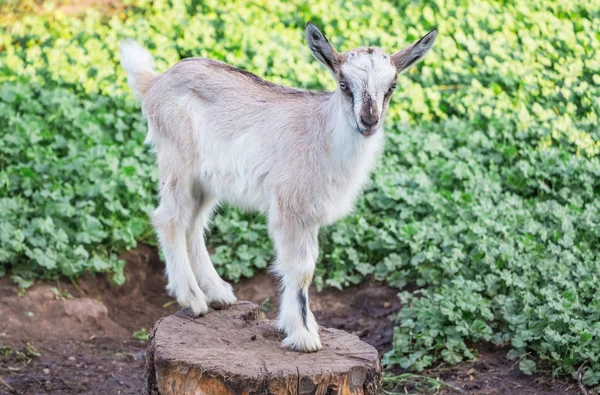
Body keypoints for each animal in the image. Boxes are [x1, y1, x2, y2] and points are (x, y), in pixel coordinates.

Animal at [119, 22, 436, 352]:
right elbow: (301, 269)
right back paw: (192, 299)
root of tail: (155, 82)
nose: (369, 120)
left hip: (205, 180)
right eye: (343, 84)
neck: (322, 134)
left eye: (392, 87)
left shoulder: (310, 212)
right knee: (169, 219)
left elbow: (306, 267)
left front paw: (302, 326)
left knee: (192, 224)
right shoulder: (291, 206)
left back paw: (218, 293)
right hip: (177, 161)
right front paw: (303, 336)